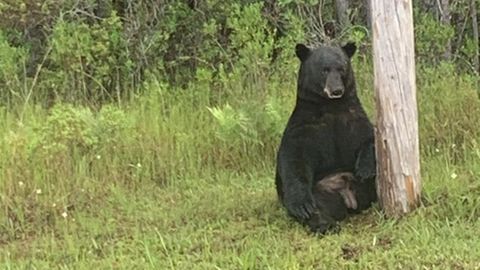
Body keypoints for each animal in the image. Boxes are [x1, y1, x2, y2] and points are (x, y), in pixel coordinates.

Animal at [276, 41, 376, 232]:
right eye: (324, 70)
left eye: (342, 68)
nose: (336, 90)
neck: (331, 106)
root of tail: (347, 197)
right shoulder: (305, 127)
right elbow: (295, 159)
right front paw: (301, 206)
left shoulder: (353, 117)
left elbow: (369, 137)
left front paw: (365, 169)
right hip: (320, 191)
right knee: (317, 207)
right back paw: (325, 224)